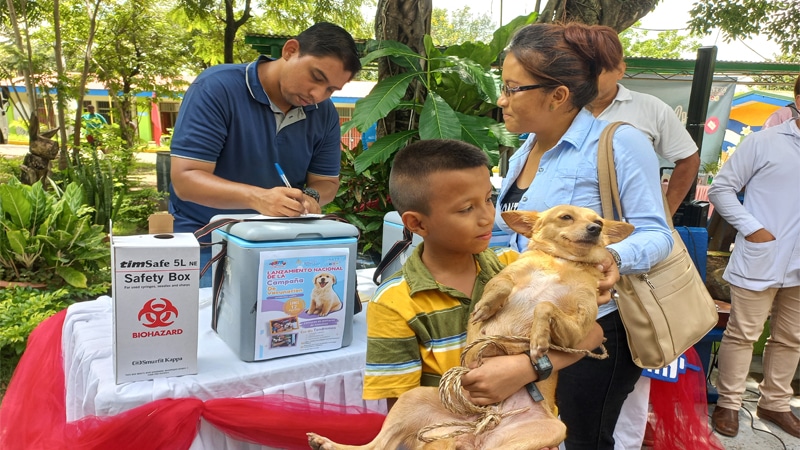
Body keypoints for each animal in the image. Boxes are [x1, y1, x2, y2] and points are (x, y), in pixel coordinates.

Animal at [310, 206, 636, 448]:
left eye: (598, 221)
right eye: (566, 217)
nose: (595, 229)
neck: (561, 263)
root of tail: (476, 429)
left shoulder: (579, 329)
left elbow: (546, 306)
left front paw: (539, 338)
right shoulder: (506, 276)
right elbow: (502, 285)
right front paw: (488, 306)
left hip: (541, 433)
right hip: (411, 400)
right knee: (375, 445)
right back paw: (326, 443)